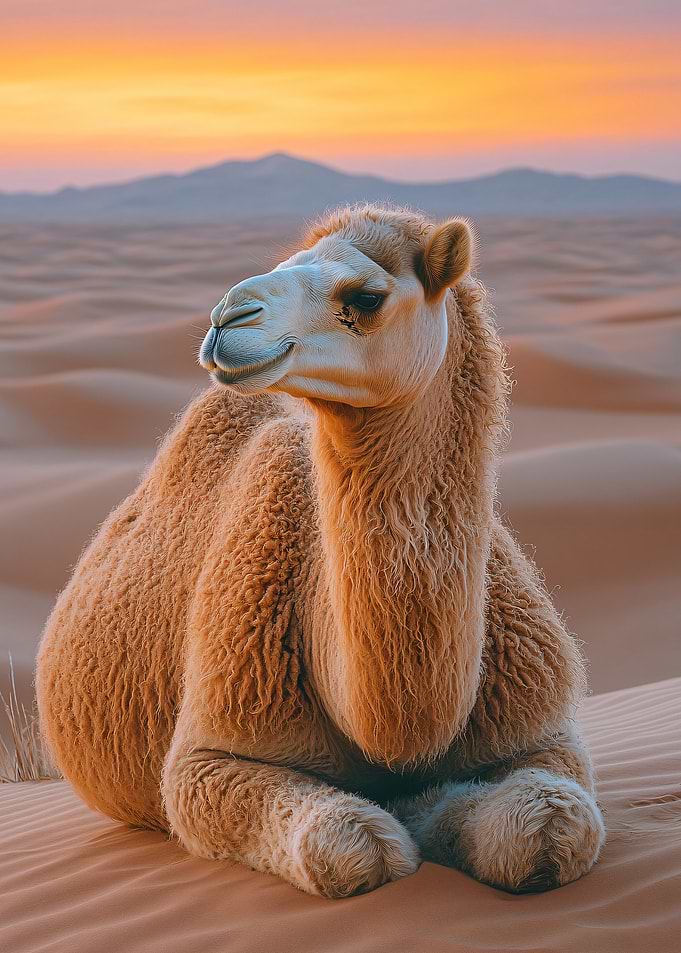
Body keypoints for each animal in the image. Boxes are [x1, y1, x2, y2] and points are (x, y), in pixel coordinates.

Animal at [36, 205, 605, 898]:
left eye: (365, 297)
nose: (227, 318)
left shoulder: (542, 732)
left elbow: (549, 828)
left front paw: (432, 806)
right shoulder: (210, 752)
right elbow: (353, 847)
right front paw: (401, 819)